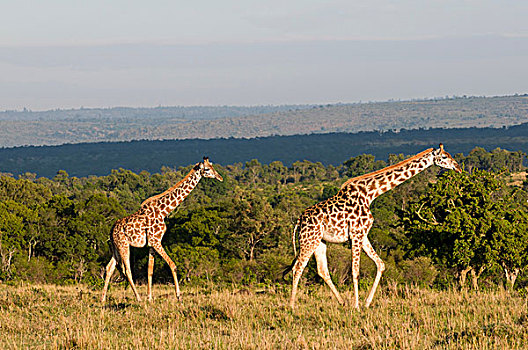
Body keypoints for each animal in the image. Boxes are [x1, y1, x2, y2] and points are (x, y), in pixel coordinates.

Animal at [101, 157, 223, 302]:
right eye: (207, 169)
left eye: (212, 166)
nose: (220, 177)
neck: (163, 211)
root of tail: (111, 230)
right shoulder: (156, 241)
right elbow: (172, 265)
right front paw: (178, 296)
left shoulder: (152, 244)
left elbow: (150, 270)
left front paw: (150, 298)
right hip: (123, 245)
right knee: (126, 270)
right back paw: (138, 298)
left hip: (116, 248)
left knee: (109, 268)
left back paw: (102, 299)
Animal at [284, 144, 462, 308]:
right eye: (444, 157)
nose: (458, 168)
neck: (371, 194)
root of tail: (299, 220)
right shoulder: (356, 233)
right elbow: (355, 271)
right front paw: (357, 306)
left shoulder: (362, 234)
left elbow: (380, 264)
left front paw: (367, 303)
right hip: (309, 240)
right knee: (298, 267)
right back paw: (292, 305)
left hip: (319, 241)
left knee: (322, 270)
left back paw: (342, 302)